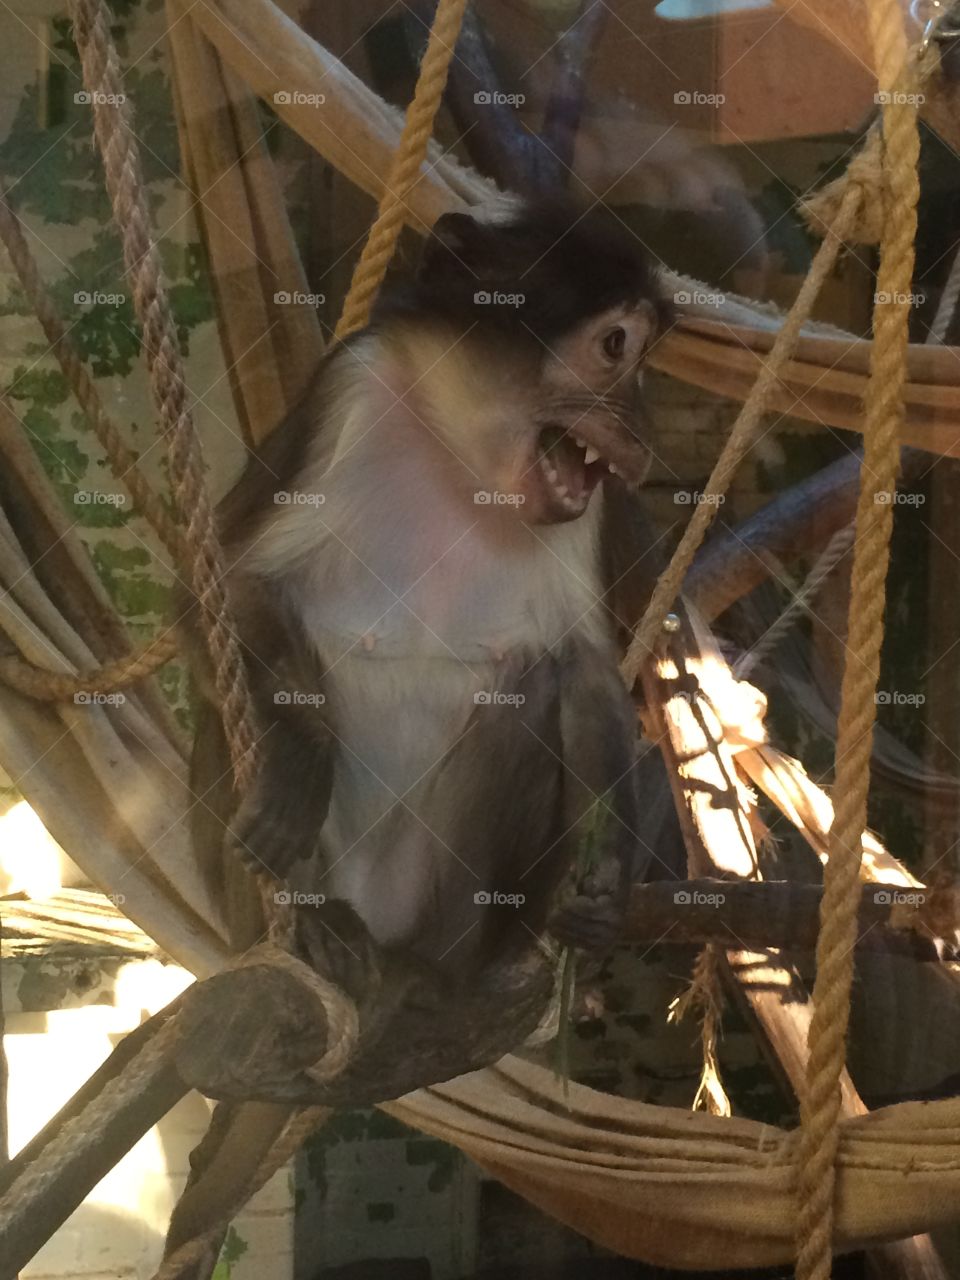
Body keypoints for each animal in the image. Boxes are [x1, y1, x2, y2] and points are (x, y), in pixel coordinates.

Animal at [184, 199, 670, 977]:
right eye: (616, 346)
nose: (642, 433)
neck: (460, 451)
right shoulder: (354, 381)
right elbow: (225, 583)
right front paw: (302, 754)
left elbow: (588, 667)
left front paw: (605, 882)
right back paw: (312, 922)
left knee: (536, 679)